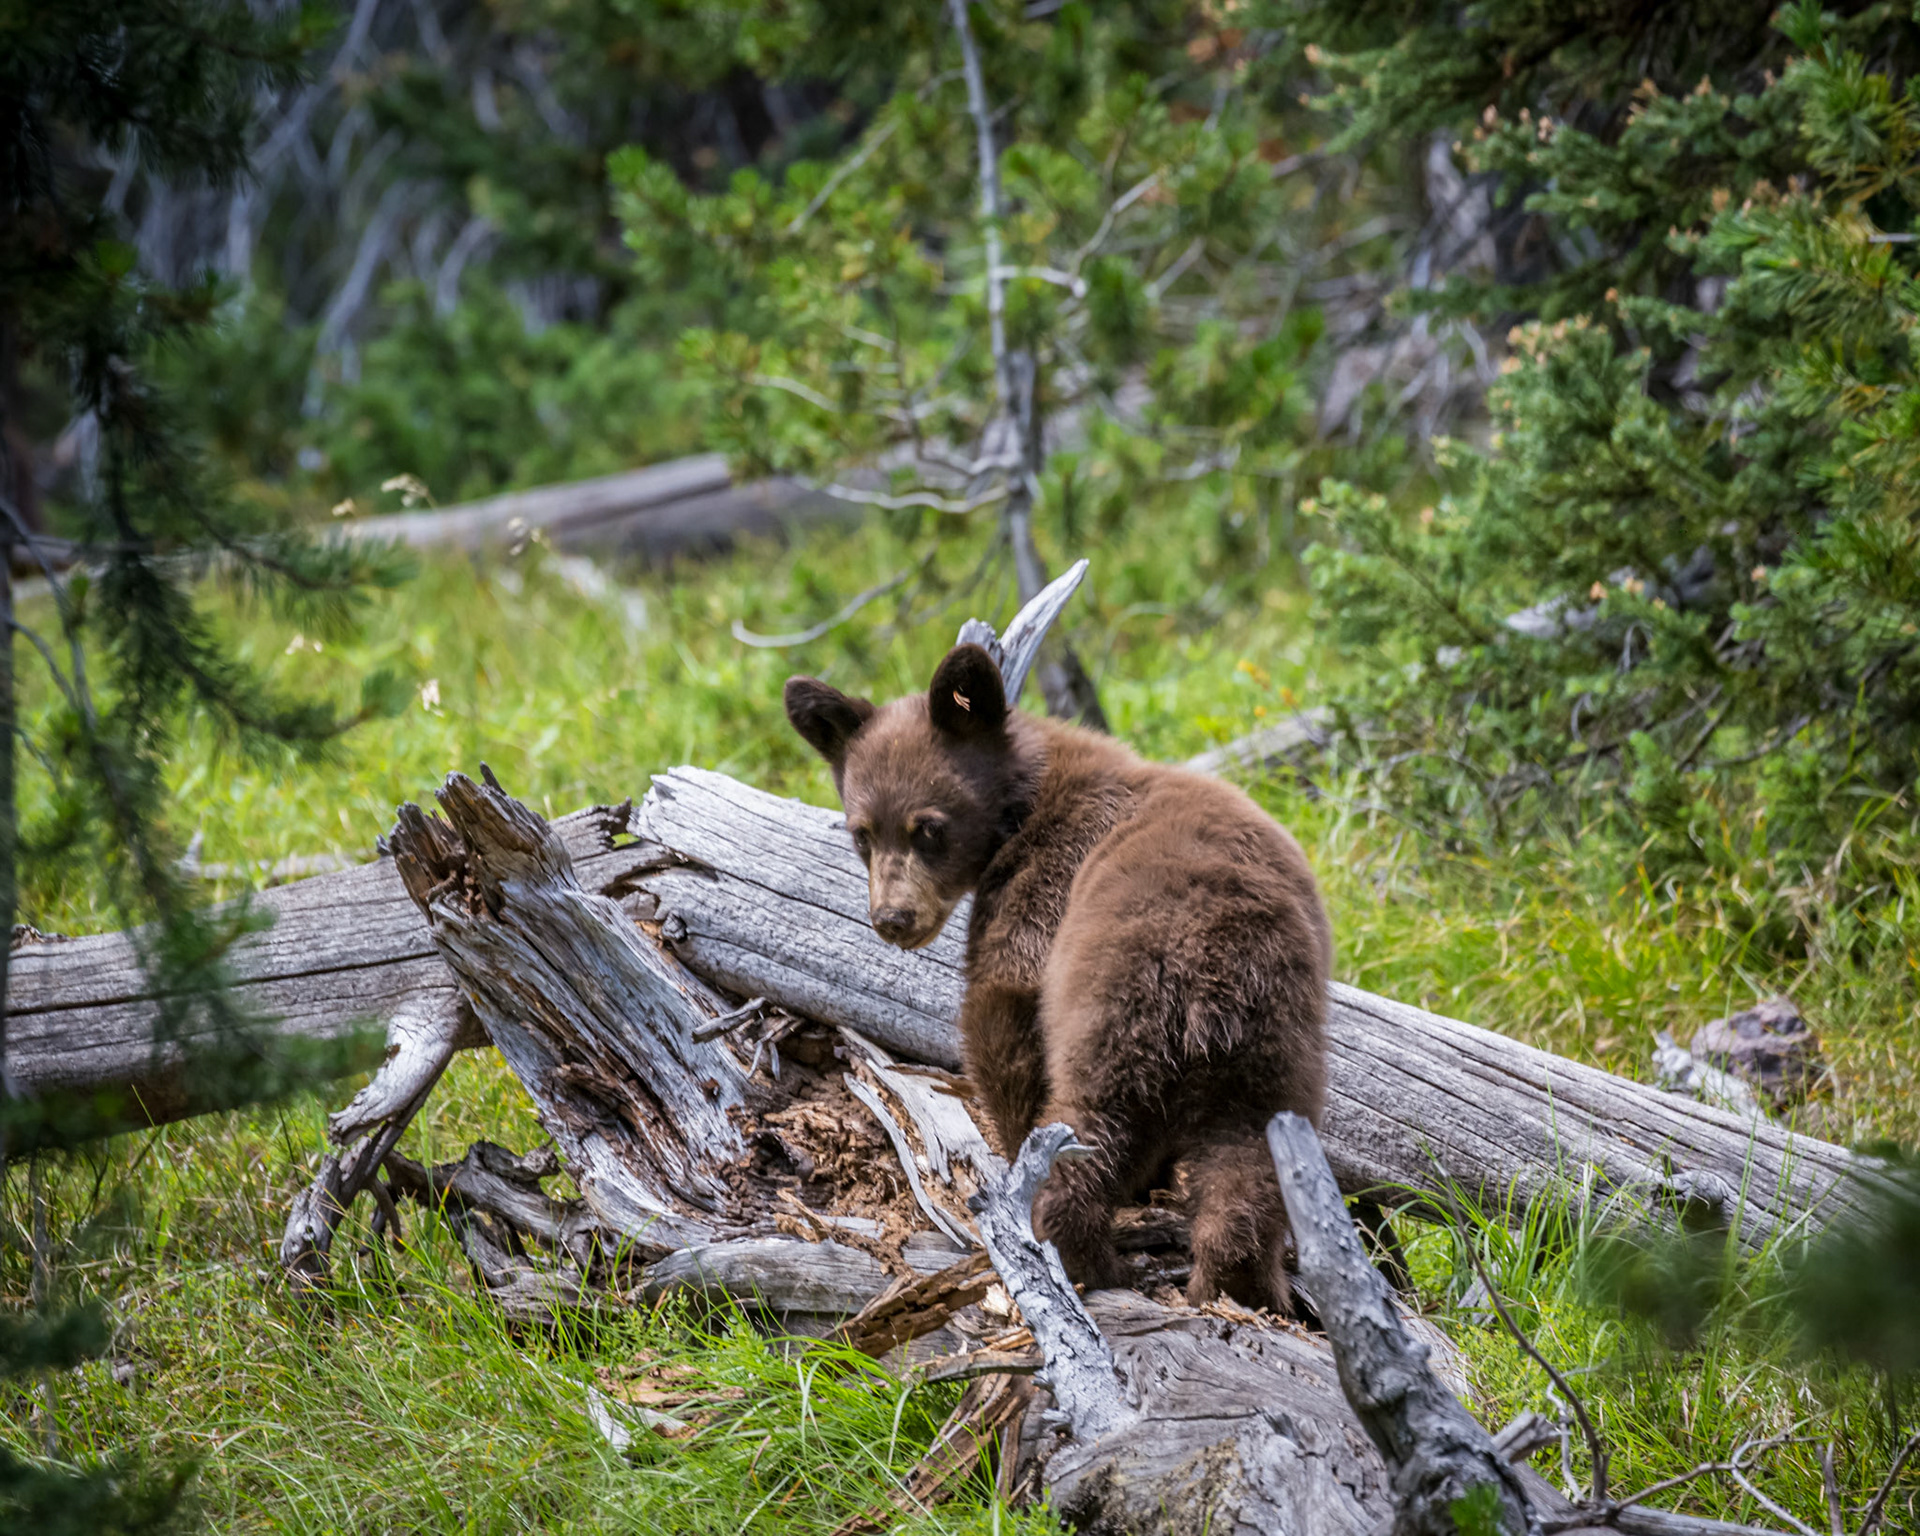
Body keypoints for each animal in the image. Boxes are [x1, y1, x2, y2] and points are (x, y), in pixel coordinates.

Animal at [785, 642, 1329, 1310]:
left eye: (928, 827)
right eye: (861, 833)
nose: (893, 918)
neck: (1023, 803)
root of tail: (1211, 981)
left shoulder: (1053, 869)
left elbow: (1004, 1002)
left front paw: (1015, 1149)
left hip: (1118, 1012)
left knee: (1093, 1128)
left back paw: (1079, 1254)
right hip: (1273, 1049)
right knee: (1251, 1160)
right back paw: (1244, 1285)